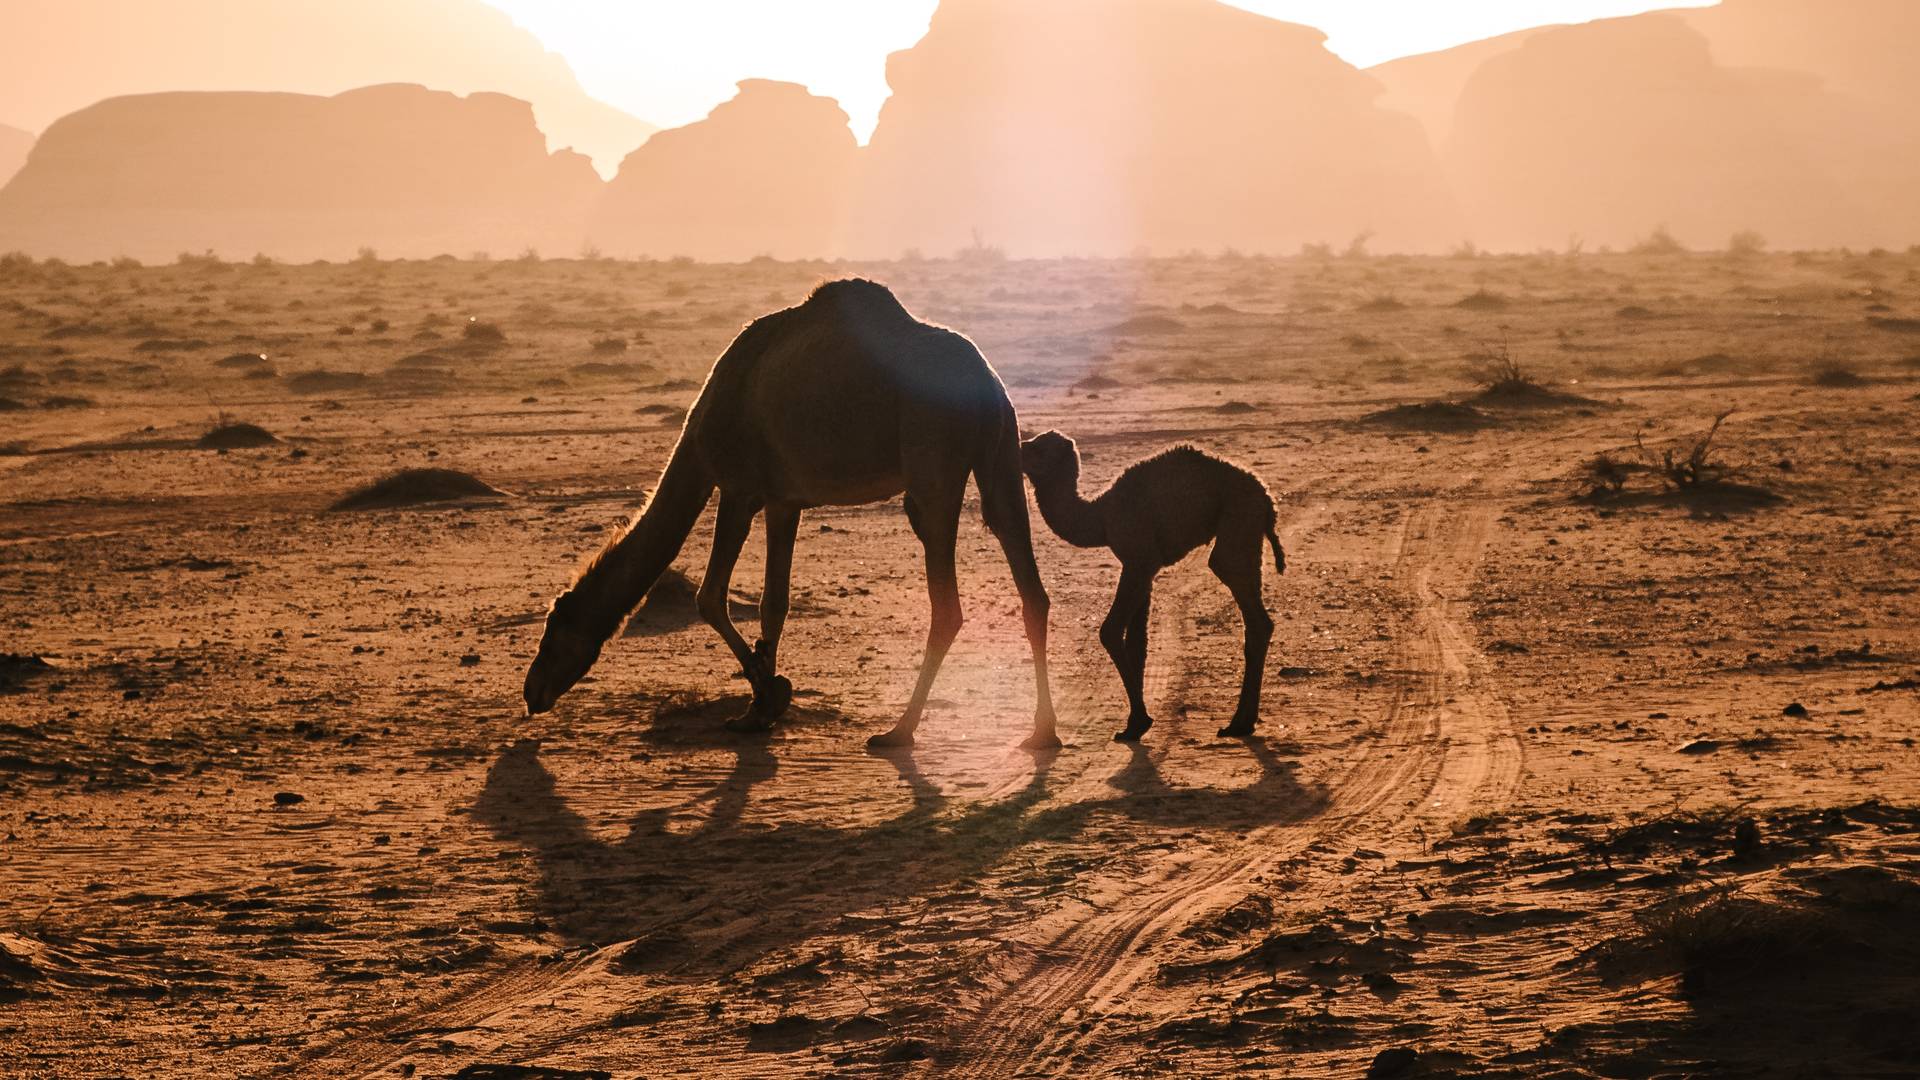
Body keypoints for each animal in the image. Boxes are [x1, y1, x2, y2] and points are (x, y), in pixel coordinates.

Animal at [522, 282, 1067, 745]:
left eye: (552, 630)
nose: (531, 692)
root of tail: (987, 382)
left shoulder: (739, 487)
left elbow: (710, 596)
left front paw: (767, 696)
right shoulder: (784, 500)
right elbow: (773, 601)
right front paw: (762, 705)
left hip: (932, 459)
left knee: (946, 602)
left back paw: (899, 731)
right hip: (1001, 454)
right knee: (1028, 582)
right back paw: (1042, 732)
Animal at [1021, 428, 1290, 737]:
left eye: (1038, 448)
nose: (1018, 448)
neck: (1101, 516)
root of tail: (1268, 500)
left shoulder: (1138, 560)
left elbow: (1110, 631)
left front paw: (1139, 721)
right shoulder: (1144, 568)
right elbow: (1138, 642)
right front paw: (1133, 725)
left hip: (1238, 519)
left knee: (1235, 582)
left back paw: (1238, 723)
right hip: (1247, 530)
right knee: (1257, 618)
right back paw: (1244, 722)